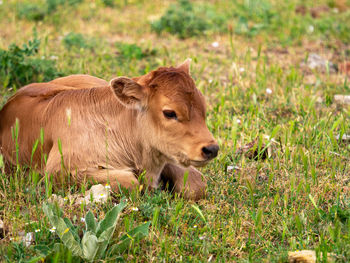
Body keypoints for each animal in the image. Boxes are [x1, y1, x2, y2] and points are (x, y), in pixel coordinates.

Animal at [0, 59, 219, 200]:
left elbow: (196, 184)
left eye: (204, 107)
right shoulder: (59, 171)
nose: (211, 149)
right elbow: (131, 183)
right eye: (170, 113)